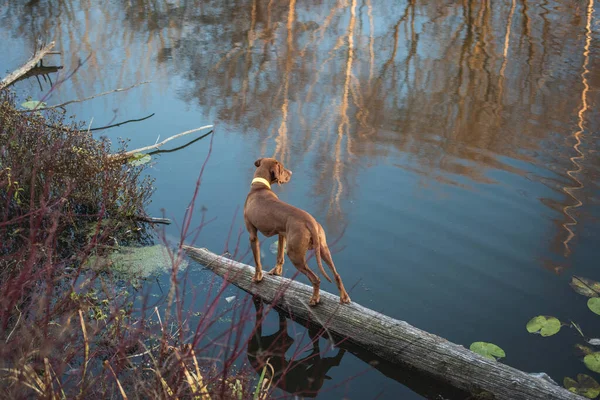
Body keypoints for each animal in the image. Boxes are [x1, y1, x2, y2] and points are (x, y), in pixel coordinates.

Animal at [244, 158, 352, 304]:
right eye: (282, 168)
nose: (291, 172)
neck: (259, 188)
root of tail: (310, 221)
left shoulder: (252, 235)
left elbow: (257, 262)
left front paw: (258, 277)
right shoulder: (281, 234)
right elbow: (279, 257)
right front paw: (276, 272)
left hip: (295, 255)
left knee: (316, 279)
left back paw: (314, 299)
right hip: (323, 249)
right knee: (337, 275)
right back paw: (344, 297)